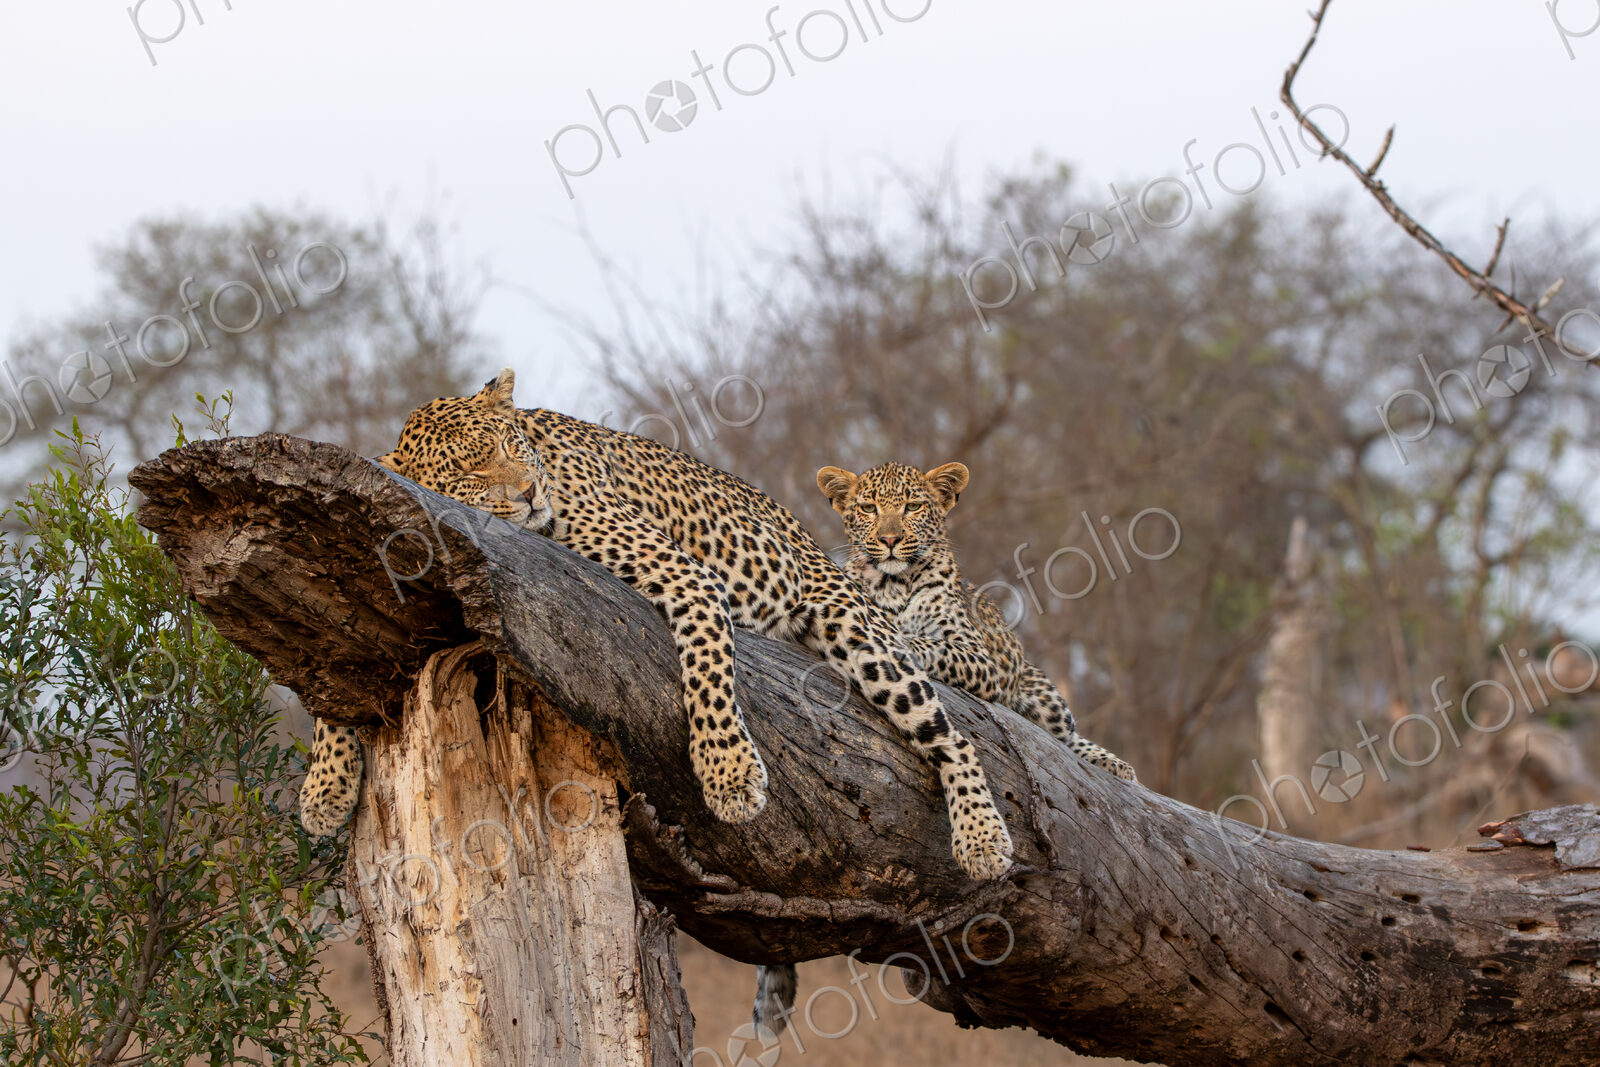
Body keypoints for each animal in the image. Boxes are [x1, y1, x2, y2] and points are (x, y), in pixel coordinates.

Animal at [298, 370, 1014, 894]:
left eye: (508, 445)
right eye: (470, 471)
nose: (528, 492)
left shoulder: (684, 572)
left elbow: (709, 672)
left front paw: (728, 774)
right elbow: (332, 667)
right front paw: (324, 789)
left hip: (860, 634)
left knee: (952, 734)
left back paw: (983, 839)